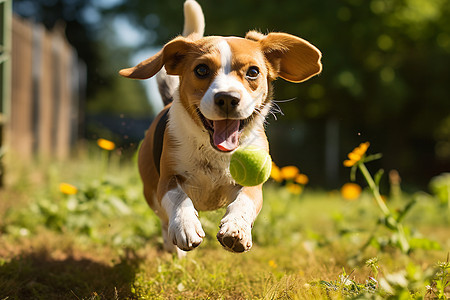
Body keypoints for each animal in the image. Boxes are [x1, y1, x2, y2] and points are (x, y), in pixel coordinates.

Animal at [119, 0, 322, 258]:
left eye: (253, 72)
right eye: (201, 70)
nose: (227, 98)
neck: (211, 149)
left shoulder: (253, 186)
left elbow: (244, 201)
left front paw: (236, 229)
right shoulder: (167, 180)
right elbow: (178, 199)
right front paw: (185, 225)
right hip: (150, 190)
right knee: (164, 220)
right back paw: (173, 247)